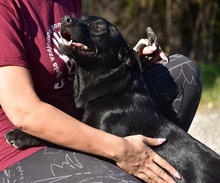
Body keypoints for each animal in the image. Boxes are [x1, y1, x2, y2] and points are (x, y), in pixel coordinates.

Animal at [5, 15, 220, 182]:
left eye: (99, 28)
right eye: (82, 18)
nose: (66, 19)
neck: (110, 90)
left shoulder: (102, 136)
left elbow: (60, 137)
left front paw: (19, 136)